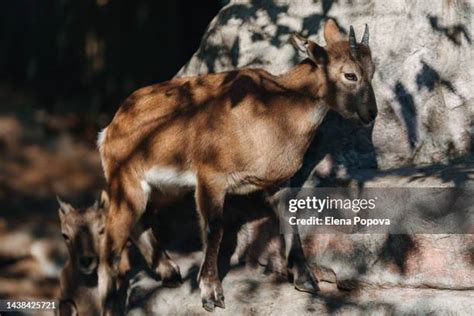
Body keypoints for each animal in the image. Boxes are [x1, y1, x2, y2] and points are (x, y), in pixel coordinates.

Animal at [97, 20, 378, 314]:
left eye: (372, 70)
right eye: (350, 75)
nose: (371, 113)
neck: (276, 114)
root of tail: (109, 129)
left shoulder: (279, 181)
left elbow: (290, 219)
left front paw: (306, 278)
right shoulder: (211, 178)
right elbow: (214, 229)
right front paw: (211, 293)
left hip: (164, 190)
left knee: (139, 221)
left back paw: (169, 272)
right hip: (126, 181)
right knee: (108, 245)